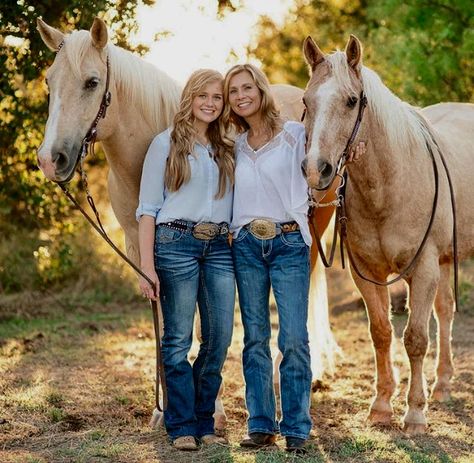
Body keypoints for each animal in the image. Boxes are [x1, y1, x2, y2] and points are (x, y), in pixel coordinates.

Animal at [37, 17, 340, 432]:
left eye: (92, 82)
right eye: (49, 81)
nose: (50, 160)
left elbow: (203, 320)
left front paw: (212, 408)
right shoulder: (142, 249)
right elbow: (167, 318)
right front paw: (164, 408)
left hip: (313, 227)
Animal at [302, 35, 472, 436]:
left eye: (351, 100)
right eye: (306, 101)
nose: (317, 170)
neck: (389, 186)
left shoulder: (423, 269)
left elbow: (415, 338)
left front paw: (415, 414)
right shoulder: (367, 272)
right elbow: (380, 332)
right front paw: (381, 406)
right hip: (445, 260)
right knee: (446, 311)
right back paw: (442, 385)